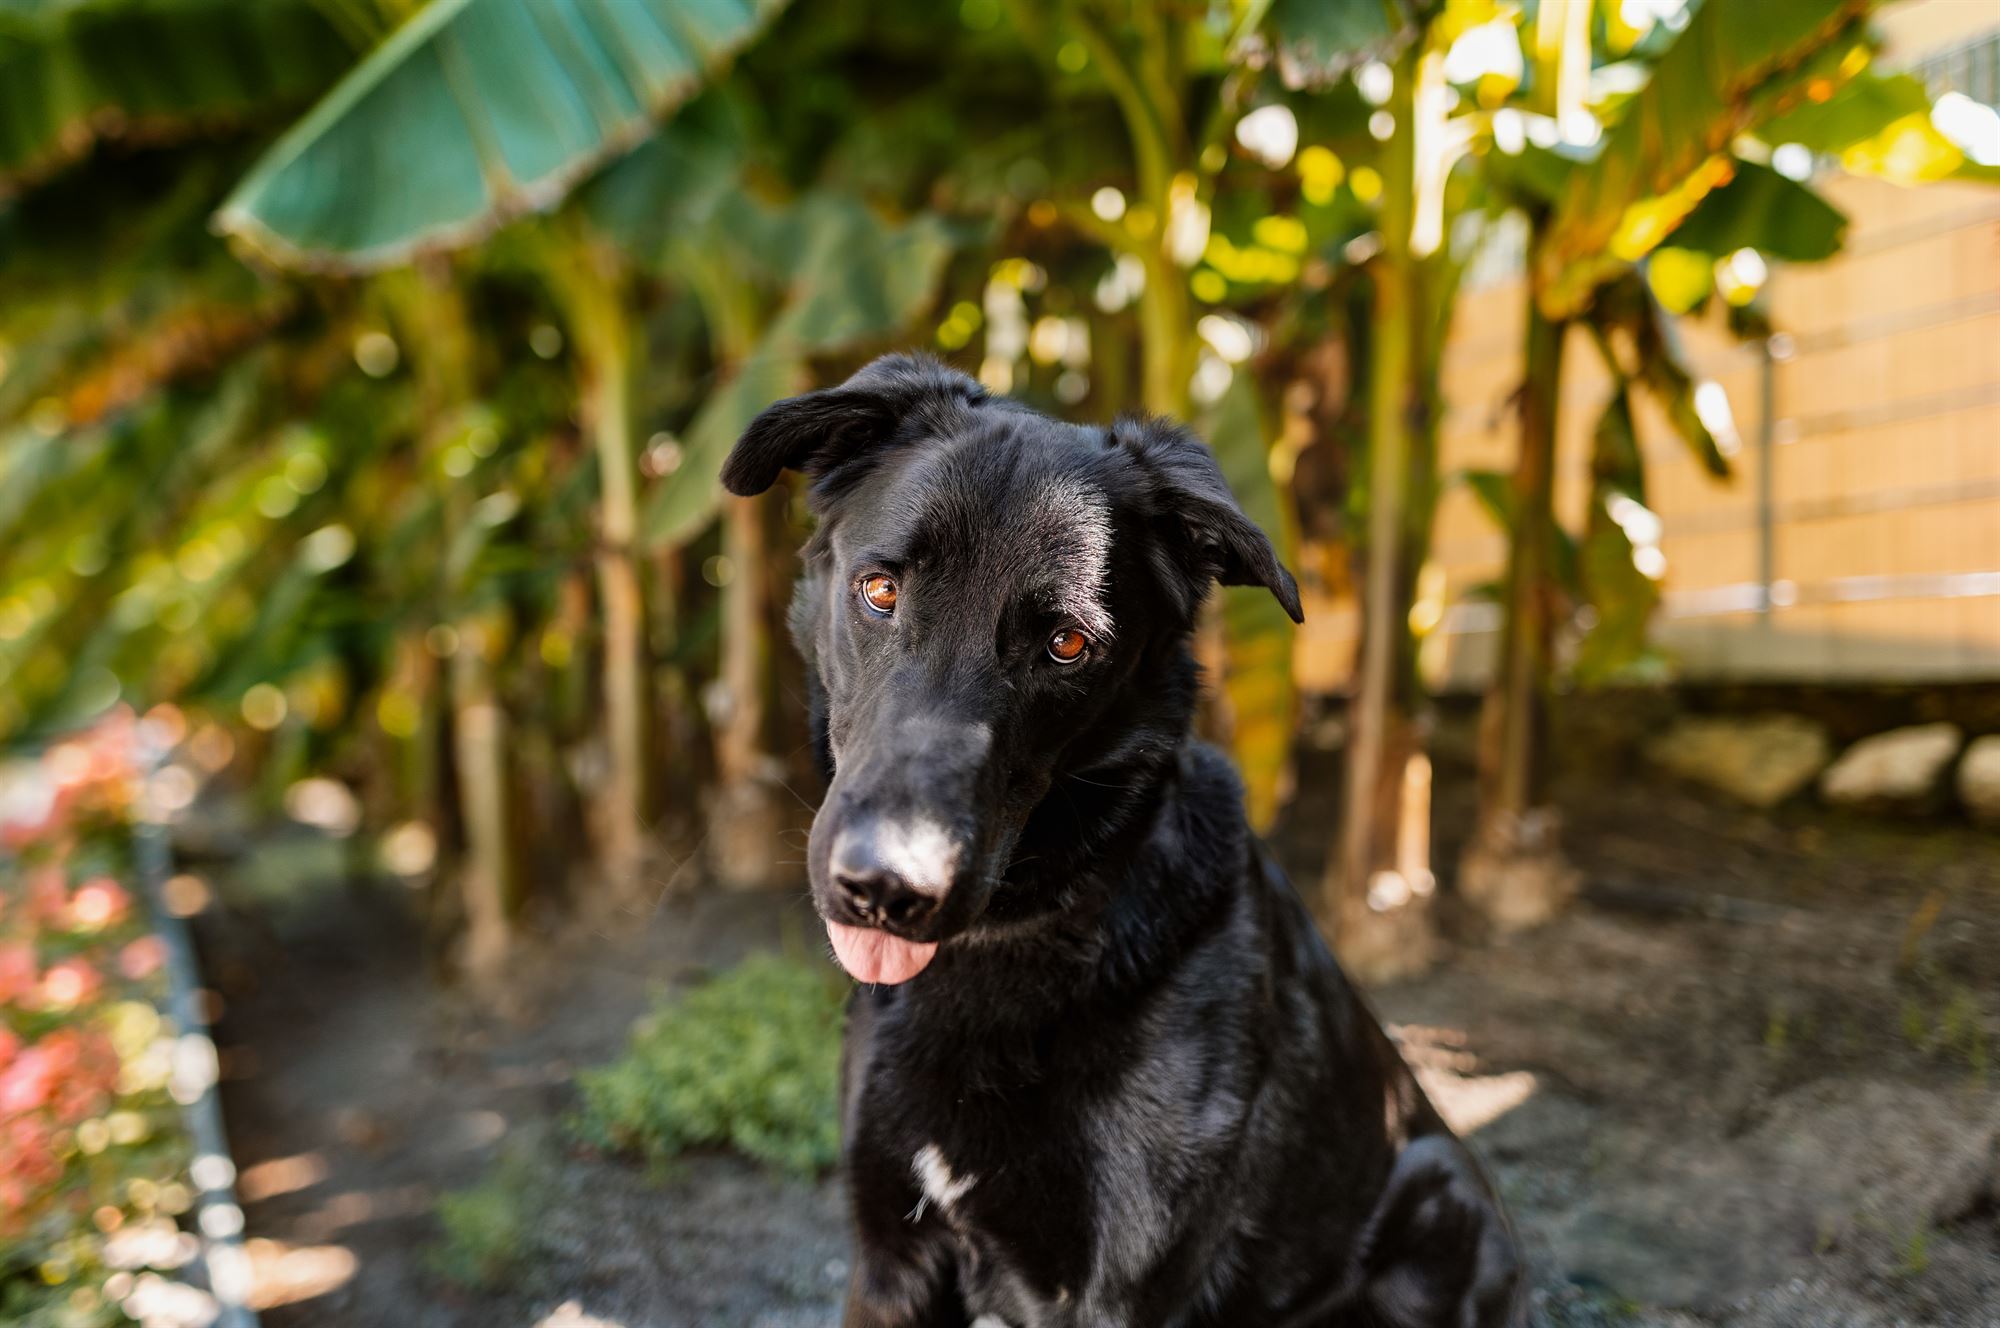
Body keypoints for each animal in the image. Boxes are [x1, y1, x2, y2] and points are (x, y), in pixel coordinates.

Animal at [728, 356, 1520, 1328]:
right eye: (881, 590)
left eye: (1068, 645)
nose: (888, 889)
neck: (1016, 939)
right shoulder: (890, 1261)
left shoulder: (1117, 1292)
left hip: (1441, 1206)